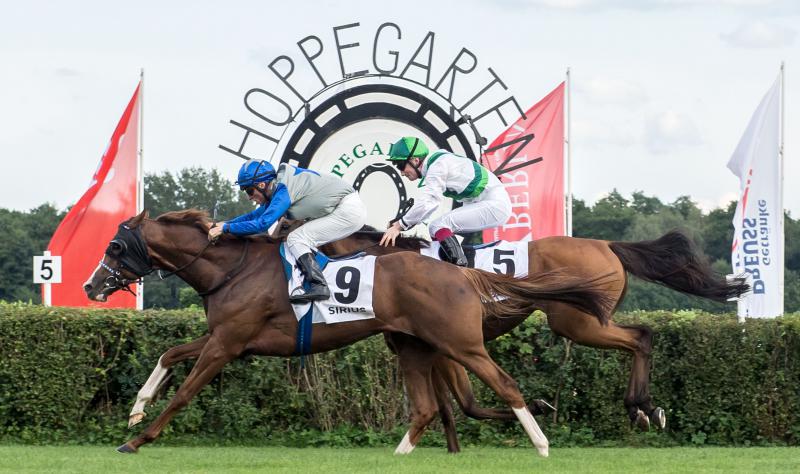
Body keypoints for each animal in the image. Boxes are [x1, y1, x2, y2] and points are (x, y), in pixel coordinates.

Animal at [84, 211, 612, 456]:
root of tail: (461, 272)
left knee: (505, 384)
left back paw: (541, 443)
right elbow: (171, 353)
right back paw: (398, 454)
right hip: (413, 346)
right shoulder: (227, 337)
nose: (91, 285)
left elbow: (184, 392)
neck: (231, 269)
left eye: (115, 246)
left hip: (458, 344)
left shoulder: (226, 345)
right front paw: (135, 409)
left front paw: (138, 439)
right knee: (426, 406)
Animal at [318, 226, 752, 452]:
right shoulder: (438, 349)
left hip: (578, 323)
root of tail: (606, 244)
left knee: (640, 337)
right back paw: (643, 407)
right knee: (642, 335)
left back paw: (641, 407)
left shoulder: (445, 347)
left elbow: (462, 403)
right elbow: (455, 406)